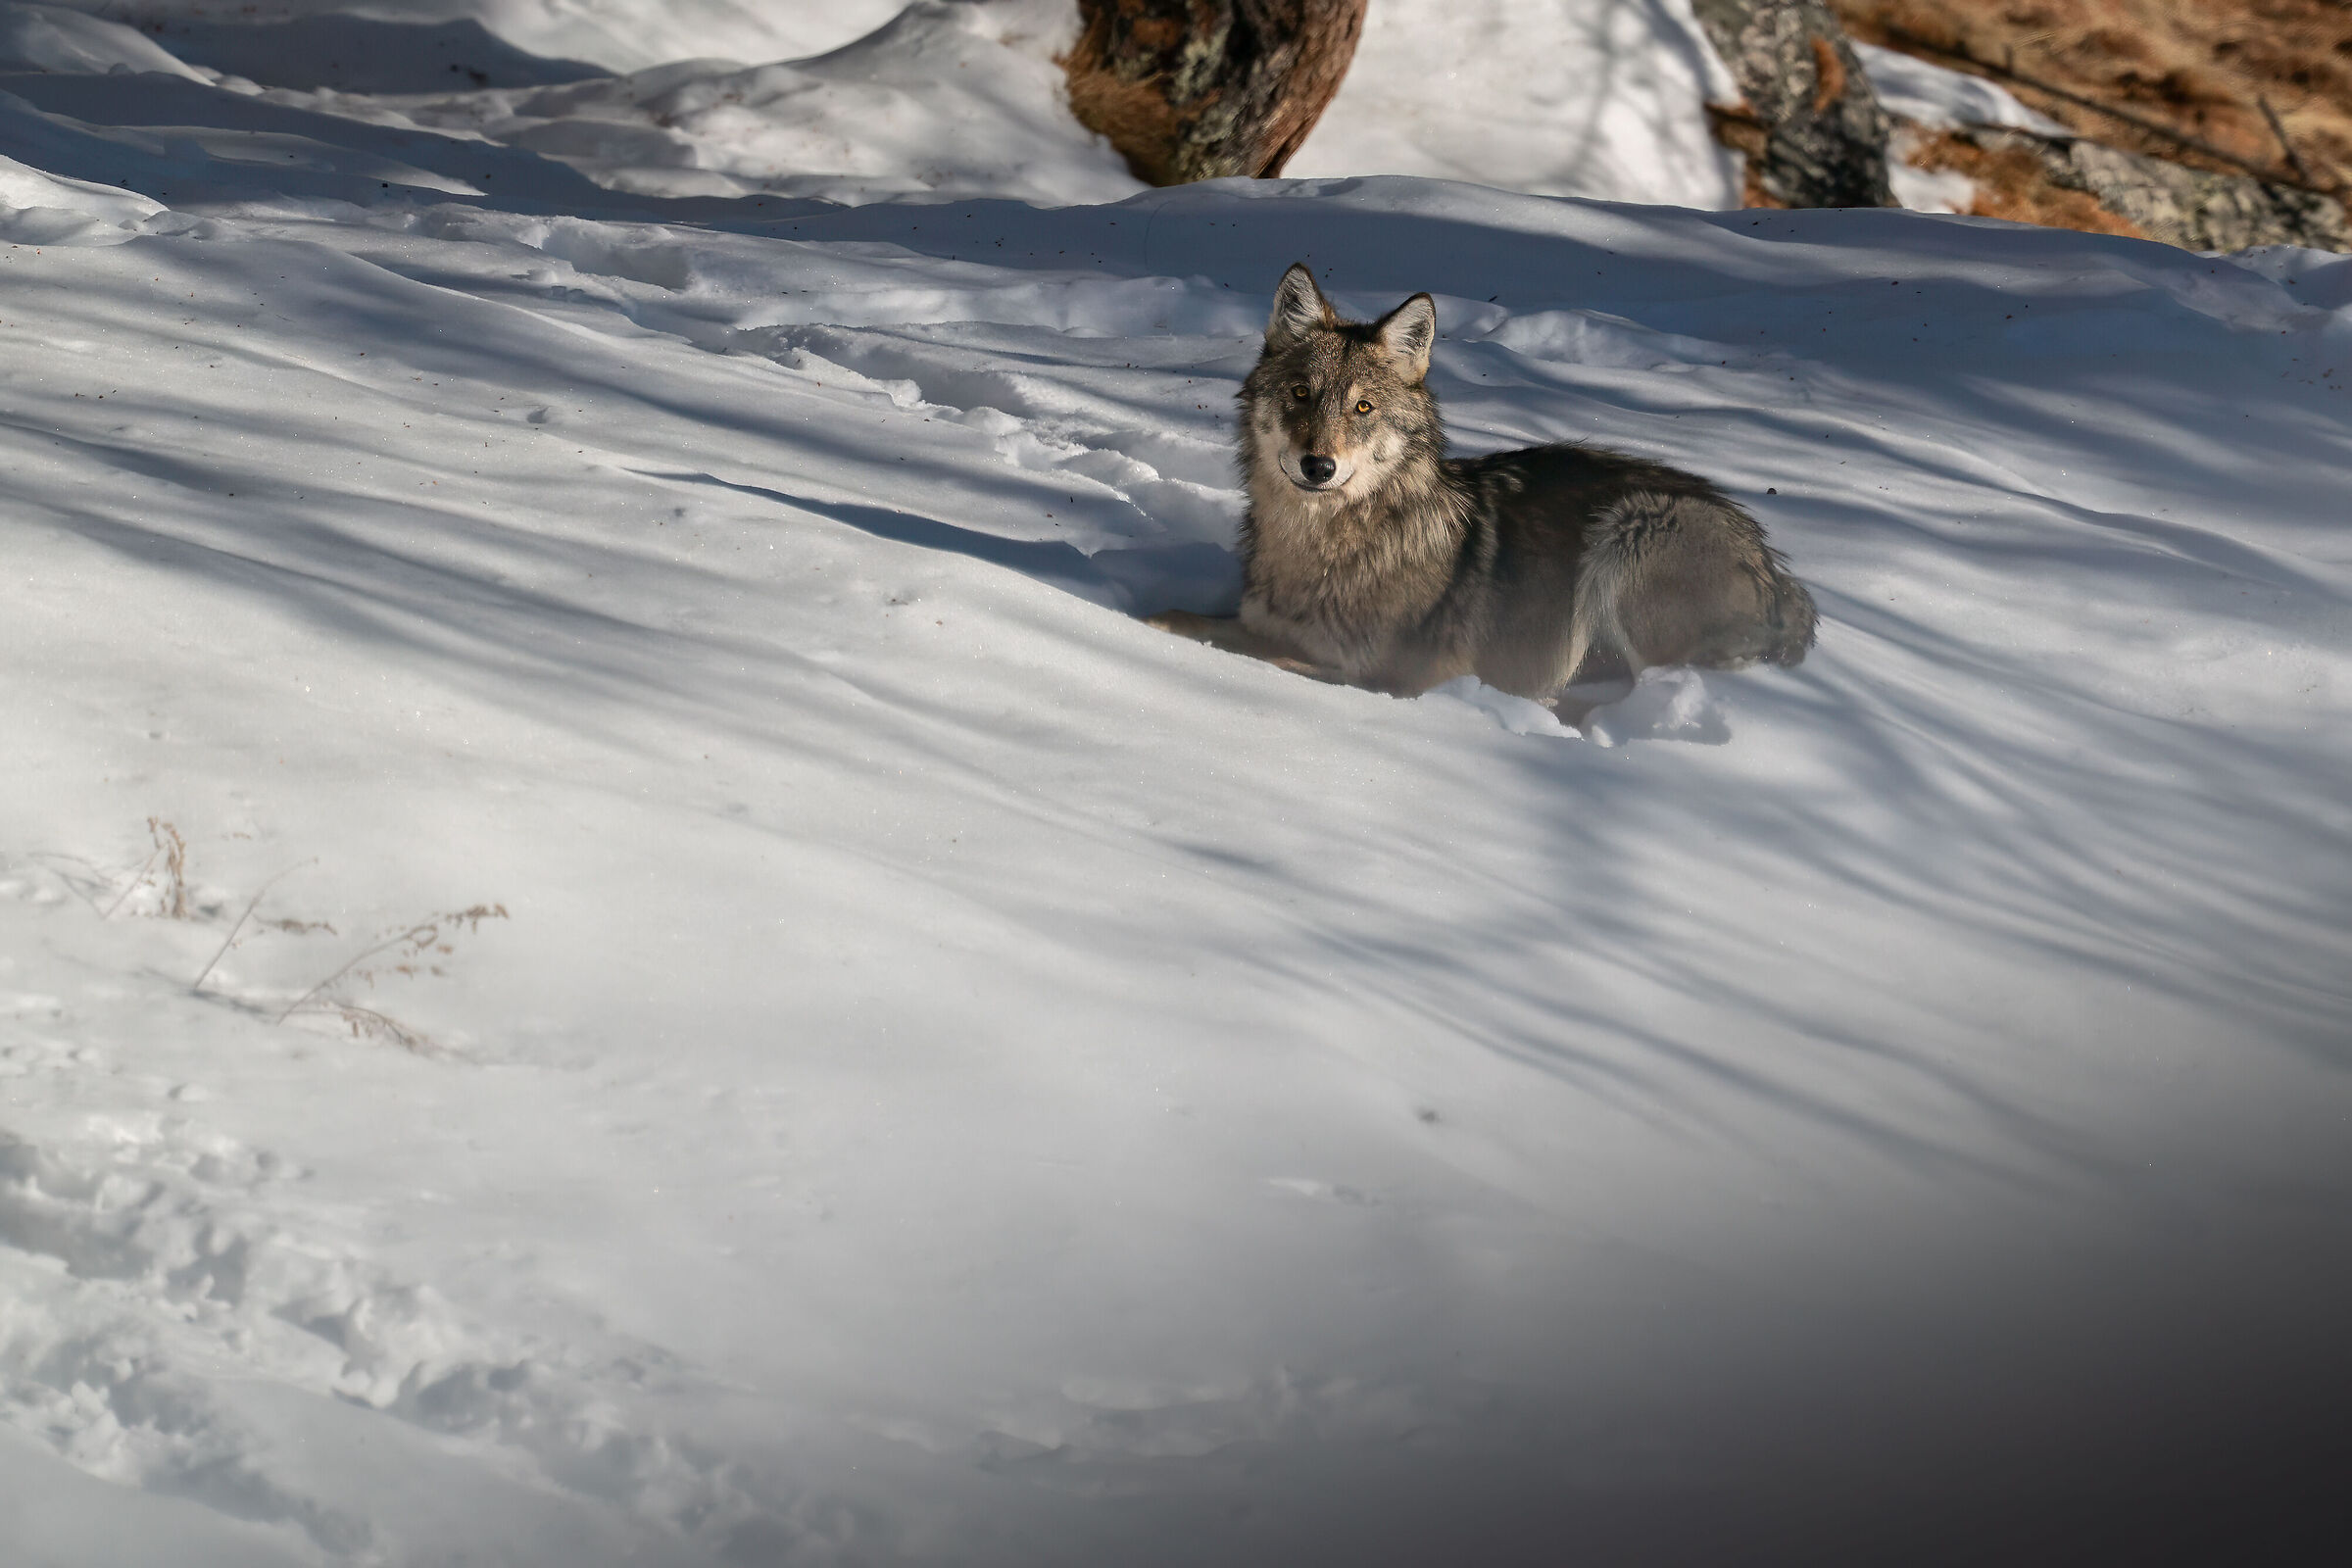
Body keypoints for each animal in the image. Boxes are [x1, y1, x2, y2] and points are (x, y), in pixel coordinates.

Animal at [1150, 264, 1816, 711]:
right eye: (1300, 395)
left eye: (1363, 407)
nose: (1319, 467)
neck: (1324, 552)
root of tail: (1774, 565)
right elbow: (1195, 620)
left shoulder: (1398, 675)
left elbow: (1279, 659)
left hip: (1631, 526)